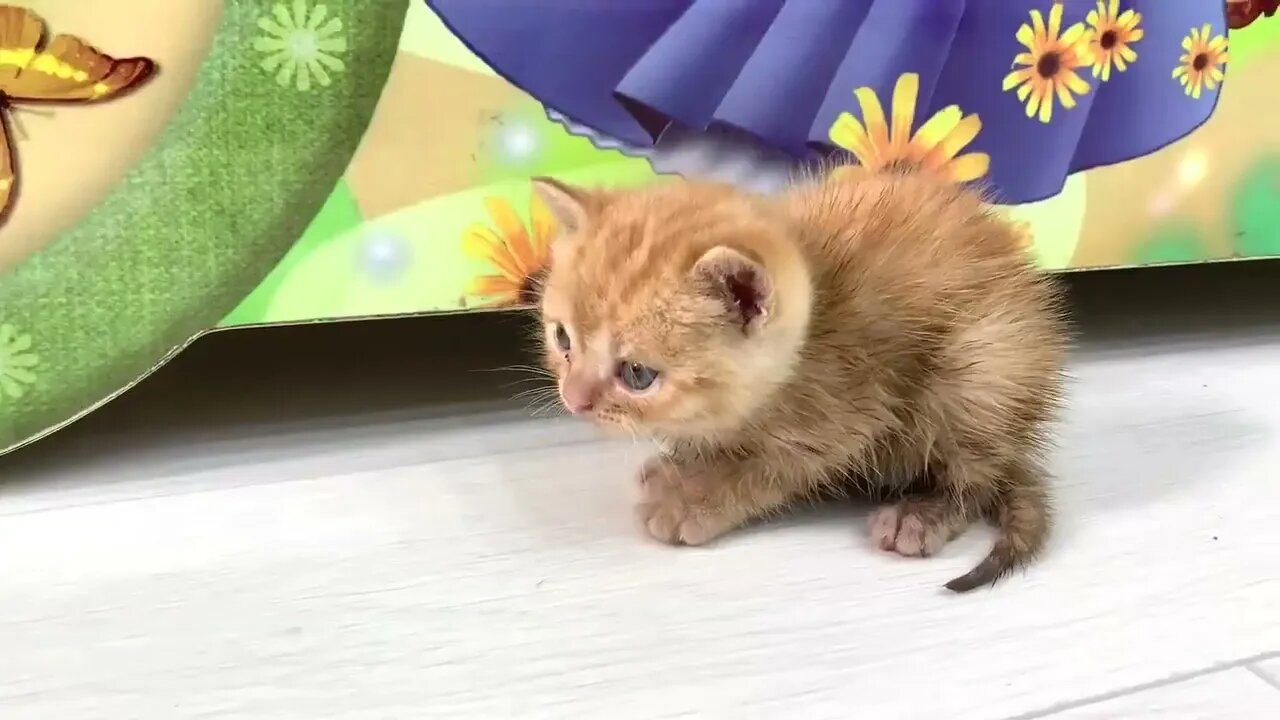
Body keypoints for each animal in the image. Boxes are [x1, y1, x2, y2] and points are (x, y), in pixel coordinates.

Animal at [532, 167, 1070, 589]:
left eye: (637, 374)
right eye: (563, 339)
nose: (573, 398)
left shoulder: (848, 412)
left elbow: (773, 470)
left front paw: (700, 498)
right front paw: (684, 465)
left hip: (981, 371)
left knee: (974, 474)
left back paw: (924, 512)